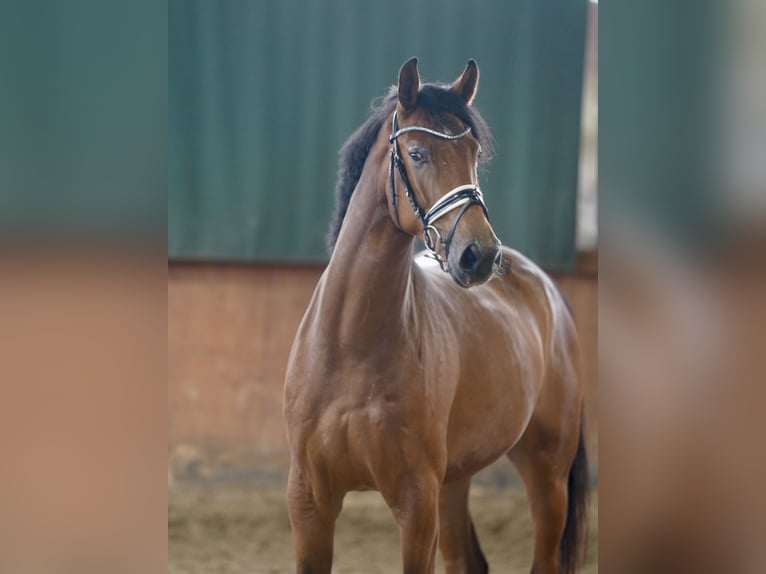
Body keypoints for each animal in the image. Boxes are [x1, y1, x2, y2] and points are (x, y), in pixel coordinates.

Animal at [283, 57, 588, 574]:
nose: (480, 256)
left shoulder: (416, 504)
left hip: (546, 475)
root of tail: (546, 288)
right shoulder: (309, 503)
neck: (352, 346)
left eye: (473, 152)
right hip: (455, 481)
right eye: (417, 153)